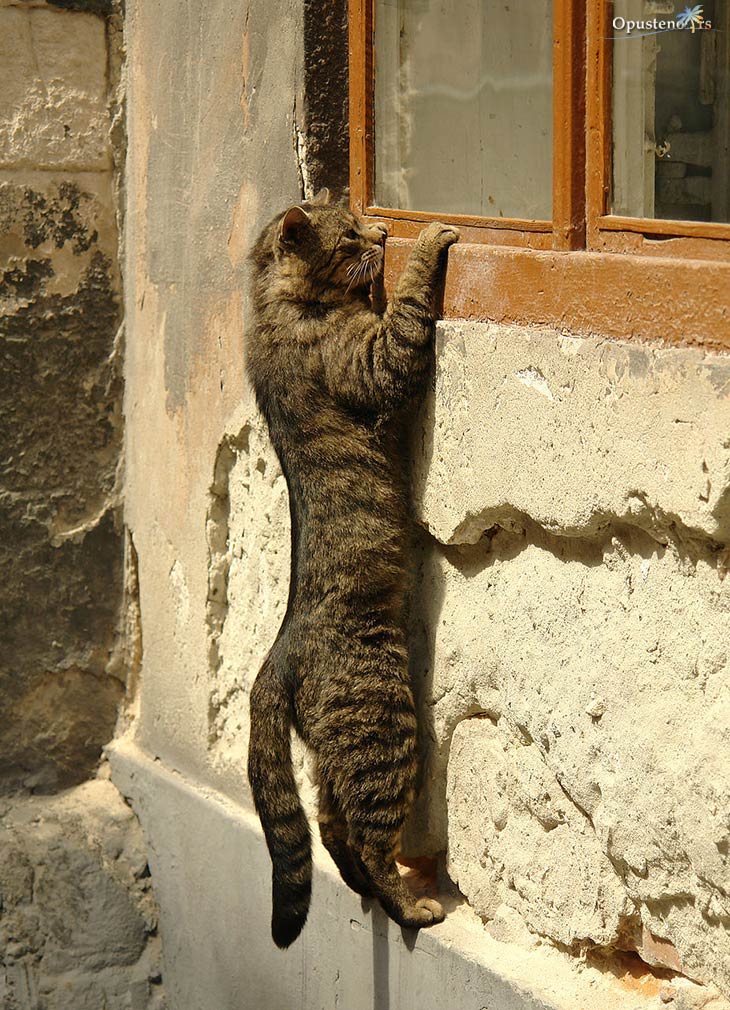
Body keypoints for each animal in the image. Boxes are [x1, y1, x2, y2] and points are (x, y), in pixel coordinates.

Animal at [248, 187, 460, 945]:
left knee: (330, 826)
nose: (381, 232)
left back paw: (369, 892)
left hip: (341, 754)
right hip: (384, 726)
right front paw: (427, 243)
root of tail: (275, 661)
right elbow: (407, 313)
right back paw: (411, 903)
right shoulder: (373, 360)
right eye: (349, 236)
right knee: (366, 838)